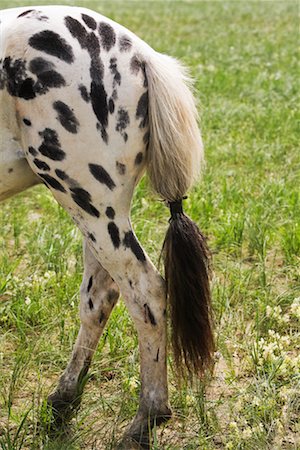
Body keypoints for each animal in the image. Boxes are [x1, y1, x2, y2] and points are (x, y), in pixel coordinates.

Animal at [0, 5, 216, 448]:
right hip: (94, 208)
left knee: (145, 292)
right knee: (100, 296)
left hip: (88, 198)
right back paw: (64, 400)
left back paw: (145, 419)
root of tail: (139, 52)